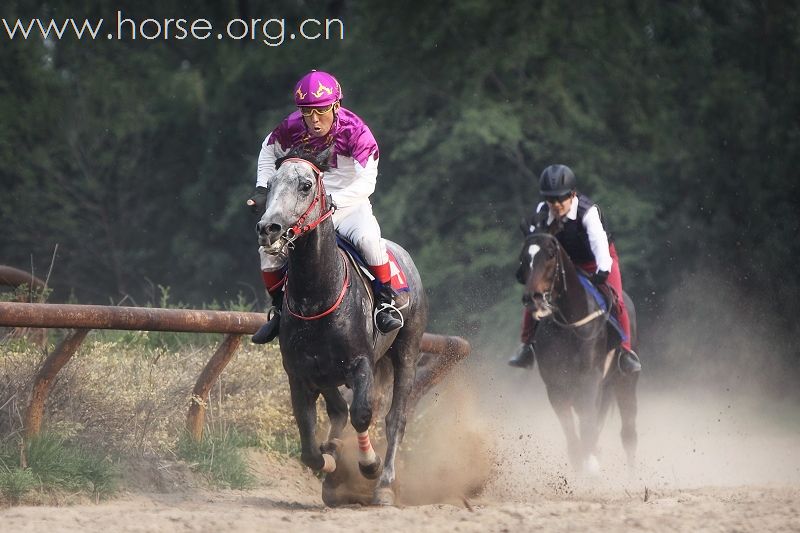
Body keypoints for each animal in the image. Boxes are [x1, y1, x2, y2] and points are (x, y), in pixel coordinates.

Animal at [520, 228, 636, 470]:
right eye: (524, 258)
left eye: (550, 255)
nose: (532, 297)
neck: (570, 323)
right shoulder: (555, 385)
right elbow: (572, 434)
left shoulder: (589, 379)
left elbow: (587, 423)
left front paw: (591, 464)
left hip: (625, 381)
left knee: (628, 433)